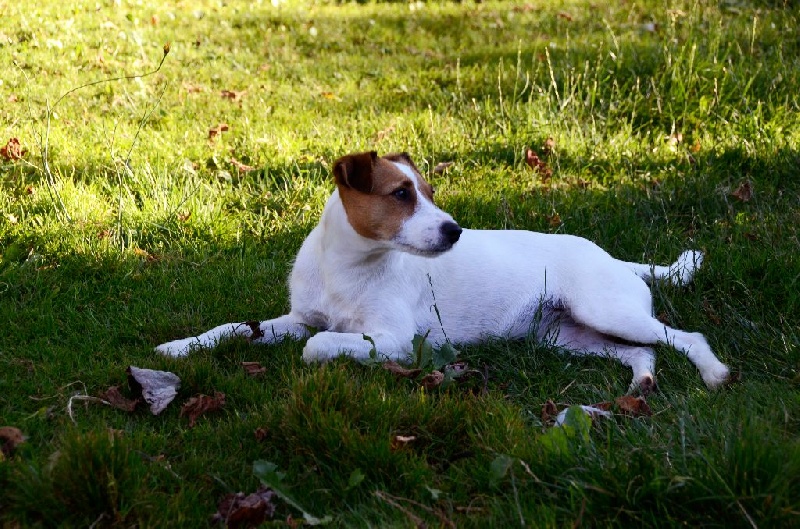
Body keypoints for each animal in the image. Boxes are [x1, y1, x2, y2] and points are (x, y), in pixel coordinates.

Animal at [156, 151, 730, 391]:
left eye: (430, 193)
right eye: (401, 194)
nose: (456, 231)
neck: (348, 269)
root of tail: (612, 258)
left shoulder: (391, 337)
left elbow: (317, 347)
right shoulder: (297, 318)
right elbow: (236, 327)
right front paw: (180, 347)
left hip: (605, 310)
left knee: (684, 337)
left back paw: (713, 372)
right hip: (567, 337)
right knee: (643, 352)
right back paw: (641, 382)